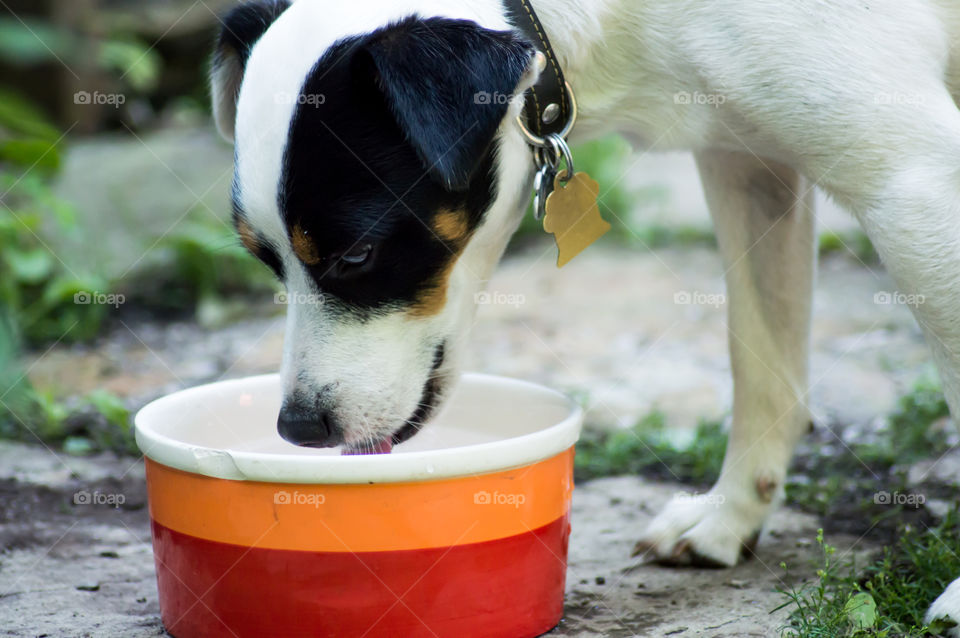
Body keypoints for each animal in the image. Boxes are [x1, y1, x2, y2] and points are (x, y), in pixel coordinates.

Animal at [212, 0, 960, 632]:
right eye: (264, 258)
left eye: (357, 255)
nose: (299, 428)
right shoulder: (746, 165)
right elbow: (760, 359)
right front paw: (730, 516)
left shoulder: (915, 183)